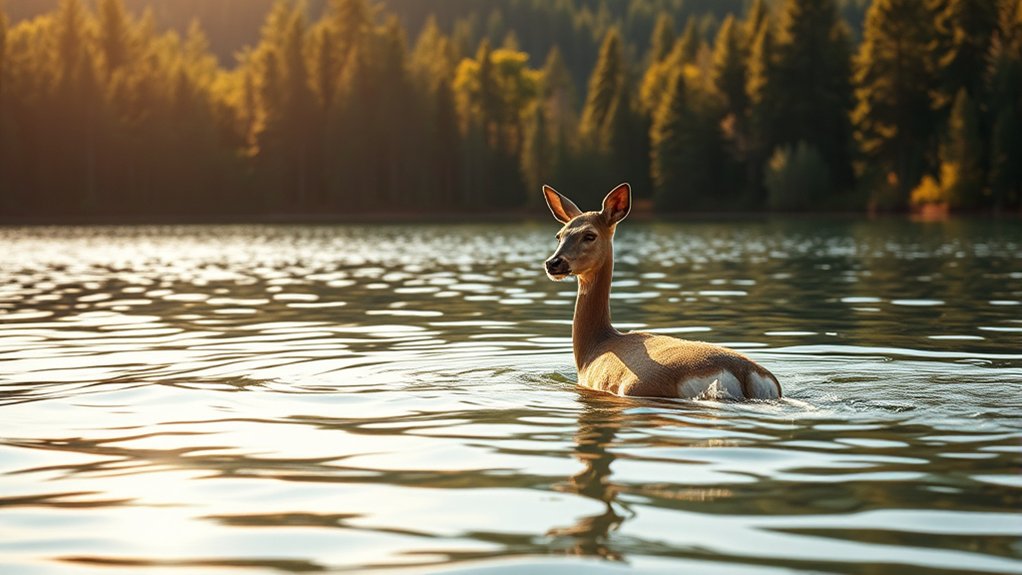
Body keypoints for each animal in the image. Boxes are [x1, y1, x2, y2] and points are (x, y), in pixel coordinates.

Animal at [543, 183, 782, 400]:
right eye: (559, 235)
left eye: (589, 235)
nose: (553, 263)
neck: (594, 348)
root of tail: (744, 375)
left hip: (640, 387)